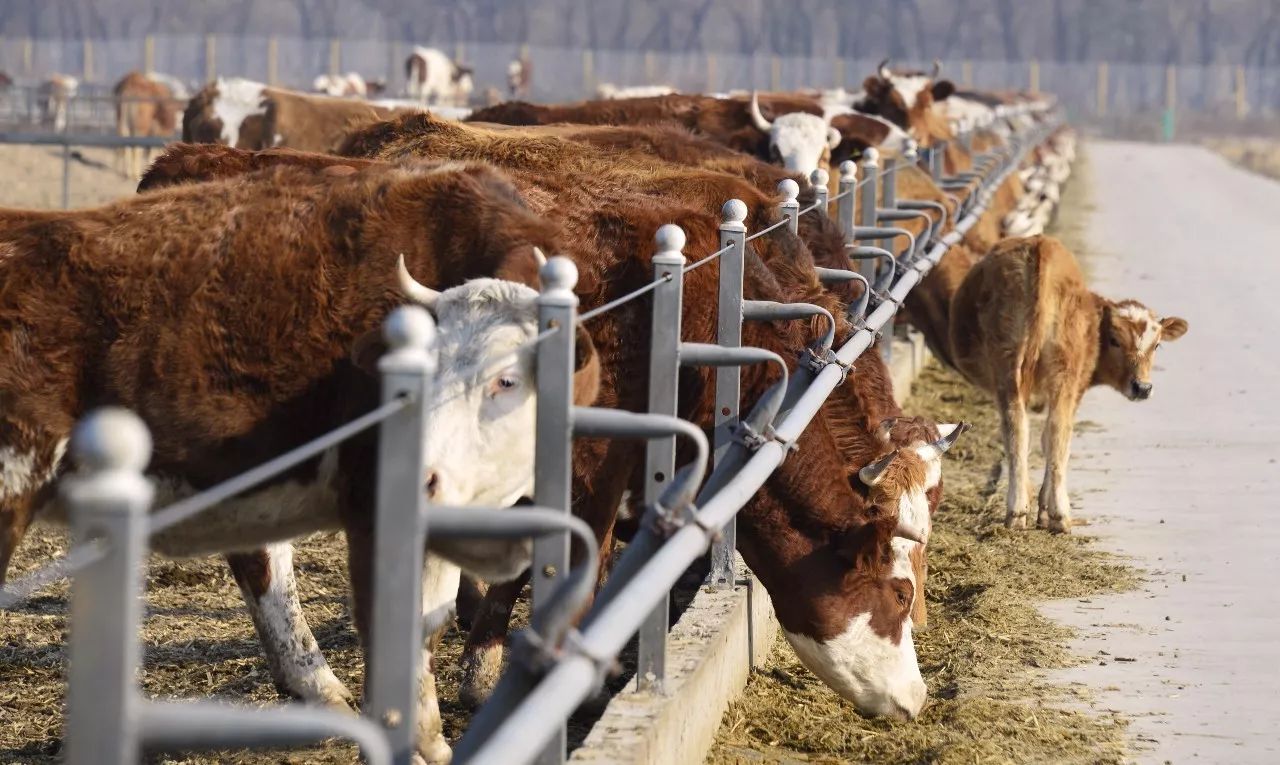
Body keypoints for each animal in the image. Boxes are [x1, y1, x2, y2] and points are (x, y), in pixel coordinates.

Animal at [952, 237, 1187, 534]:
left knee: (1017, 428)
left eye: (1156, 345)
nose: (1142, 387)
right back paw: (1059, 514)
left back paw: (1017, 510)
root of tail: (1040, 247)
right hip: (1065, 372)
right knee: (1057, 430)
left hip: (1008, 365)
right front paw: (1043, 508)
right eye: (1114, 340)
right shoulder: (1078, 386)